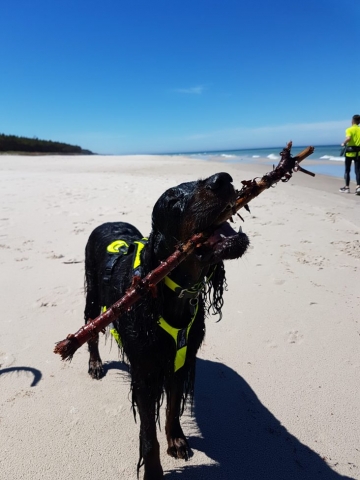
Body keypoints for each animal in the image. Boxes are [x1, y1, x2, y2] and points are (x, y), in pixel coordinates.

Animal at [83, 172, 249, 480]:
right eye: (172, 201)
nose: (223, 179)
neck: (172, 292)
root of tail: (107, 222)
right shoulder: (146, 374)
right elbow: (149, 434)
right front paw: (153, 472)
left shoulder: (180, 362)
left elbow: (172, 407)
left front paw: (177, 440)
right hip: (93, 293)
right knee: (90, 329)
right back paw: (95, 364)